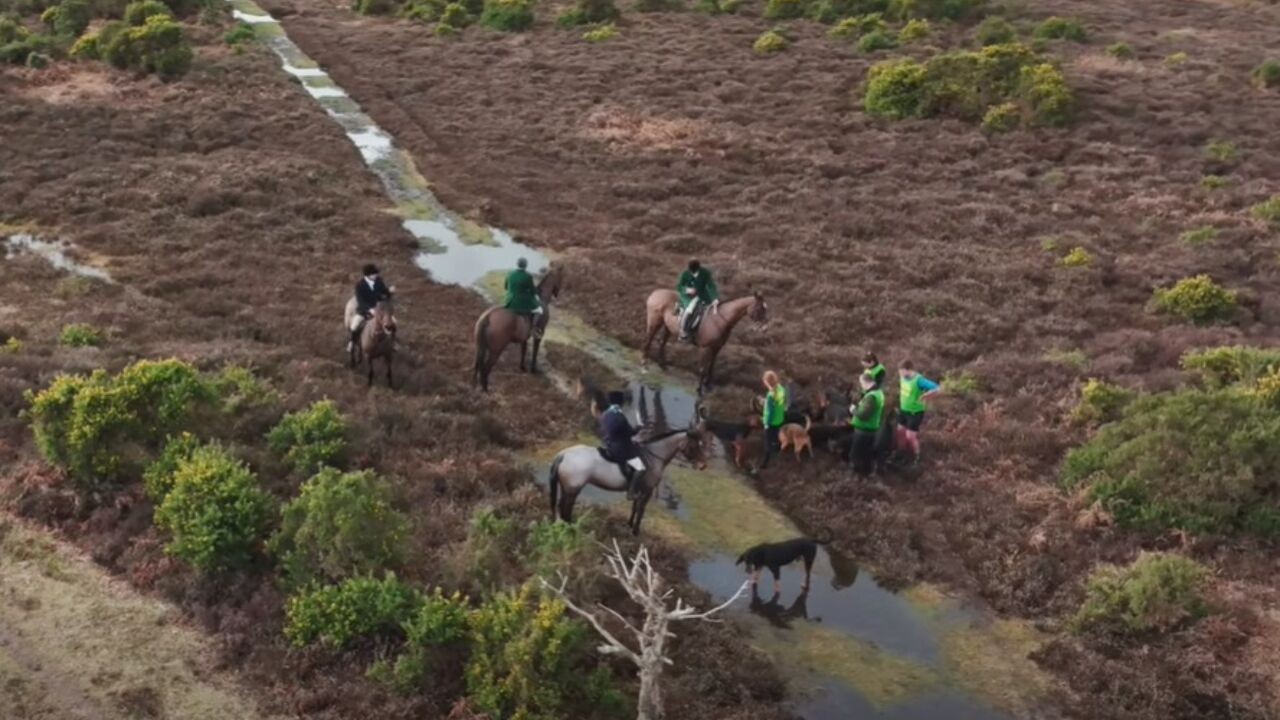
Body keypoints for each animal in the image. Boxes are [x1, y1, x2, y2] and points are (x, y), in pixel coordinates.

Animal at [548, 422, 706, 536]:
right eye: (694, 445)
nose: (703, 466)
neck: (654, 457)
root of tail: (563, 454)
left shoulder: (639, 490)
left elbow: (634, 507)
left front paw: (629, 525)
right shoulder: (647, 491)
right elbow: (641, 510)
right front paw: (636, 531)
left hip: (567, 488)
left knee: (561, 506)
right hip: (573, 489)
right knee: (566, 507)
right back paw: (570, 527)